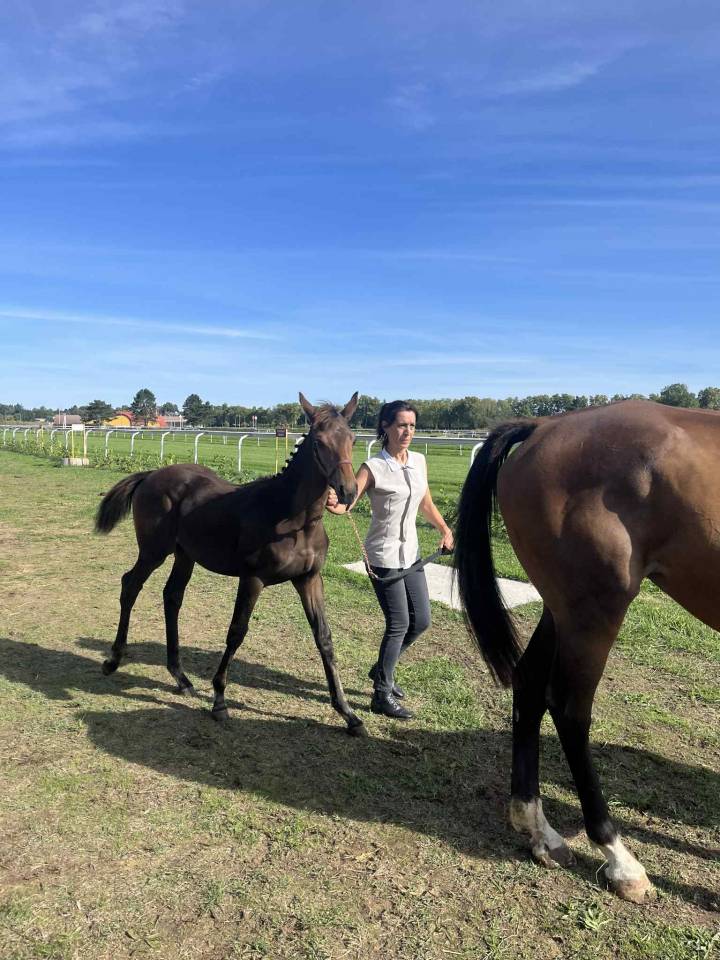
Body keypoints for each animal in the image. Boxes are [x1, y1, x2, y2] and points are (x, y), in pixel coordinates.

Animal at [95, 391, 366, 736]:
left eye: (352, 439)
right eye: (319, 442)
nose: (347, 491)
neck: (292, 520)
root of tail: (151, 475)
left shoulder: (309, 579)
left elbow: (324, 638)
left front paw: (348, 713)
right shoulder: (252, 578)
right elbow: (236, 631)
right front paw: (220, 700)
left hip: (185, 555)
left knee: (172, 597)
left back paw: (181, 677)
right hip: (153, 551)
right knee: (130, 585)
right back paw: (114, 660)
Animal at [454, 399, 720, 903]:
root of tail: (546, 424)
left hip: (562, 610)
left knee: (529, 684)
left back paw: (539, 830)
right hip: (595, 610)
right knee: (570, 709)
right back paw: (618, 856)